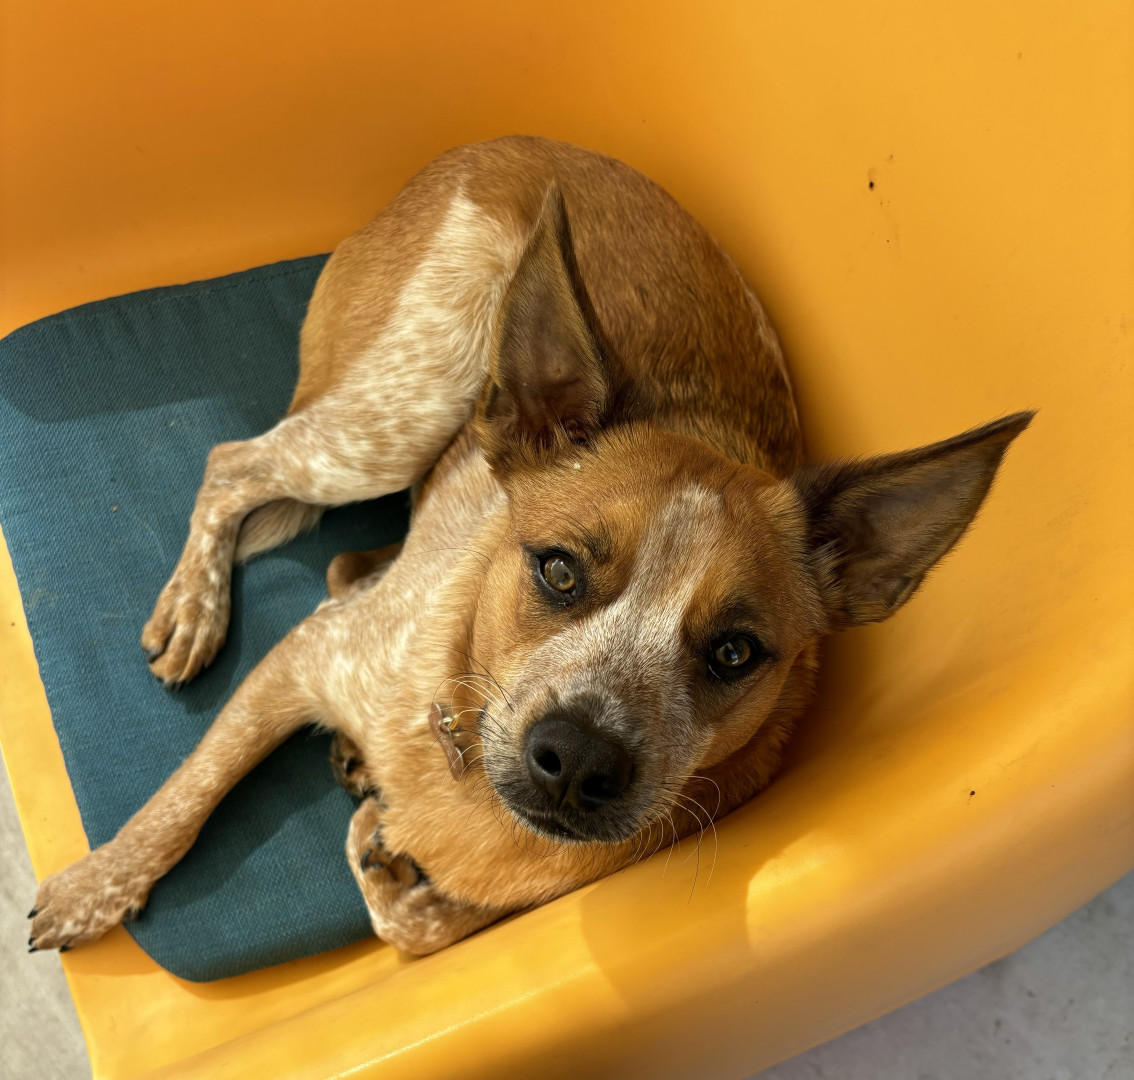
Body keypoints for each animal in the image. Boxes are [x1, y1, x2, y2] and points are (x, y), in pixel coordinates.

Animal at [27, 136, 1031, 957]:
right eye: (558, 569)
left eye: (735, 652)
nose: (580, 760)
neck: (460, 758)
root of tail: (493, 147)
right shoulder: (300, 663)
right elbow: (184, 801)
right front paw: (93, 889)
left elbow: (412, 923)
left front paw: (384, 851)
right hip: (395, 415)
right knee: (234, 462)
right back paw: (195, 611)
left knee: (333, 550)